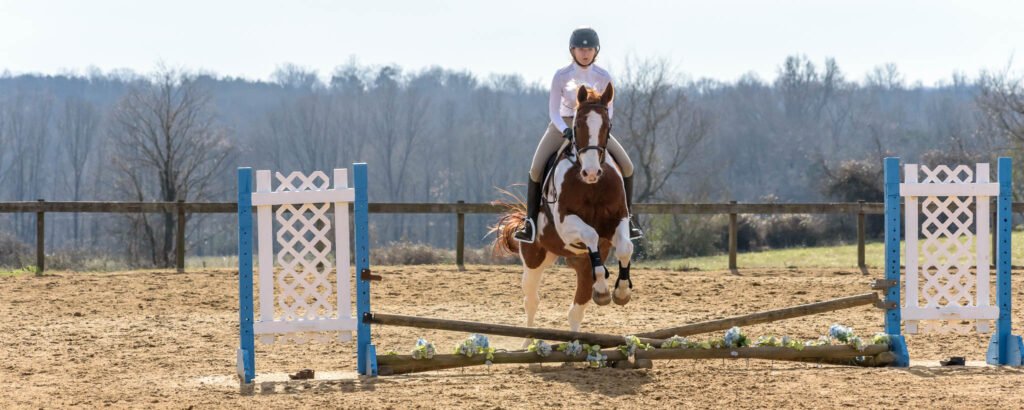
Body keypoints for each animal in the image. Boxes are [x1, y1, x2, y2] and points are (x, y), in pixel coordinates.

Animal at [493, 82, 630, 332]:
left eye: (608, 125)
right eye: (576, 125)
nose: (591, 172)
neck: (592, 186)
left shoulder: (620, 219)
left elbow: (625, 247)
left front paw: (621, 292)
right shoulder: (566, 224)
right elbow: (591, 233)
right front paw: (607, 286)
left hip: (578, 265)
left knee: (575, 311)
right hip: (534, 260)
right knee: (531, 302)